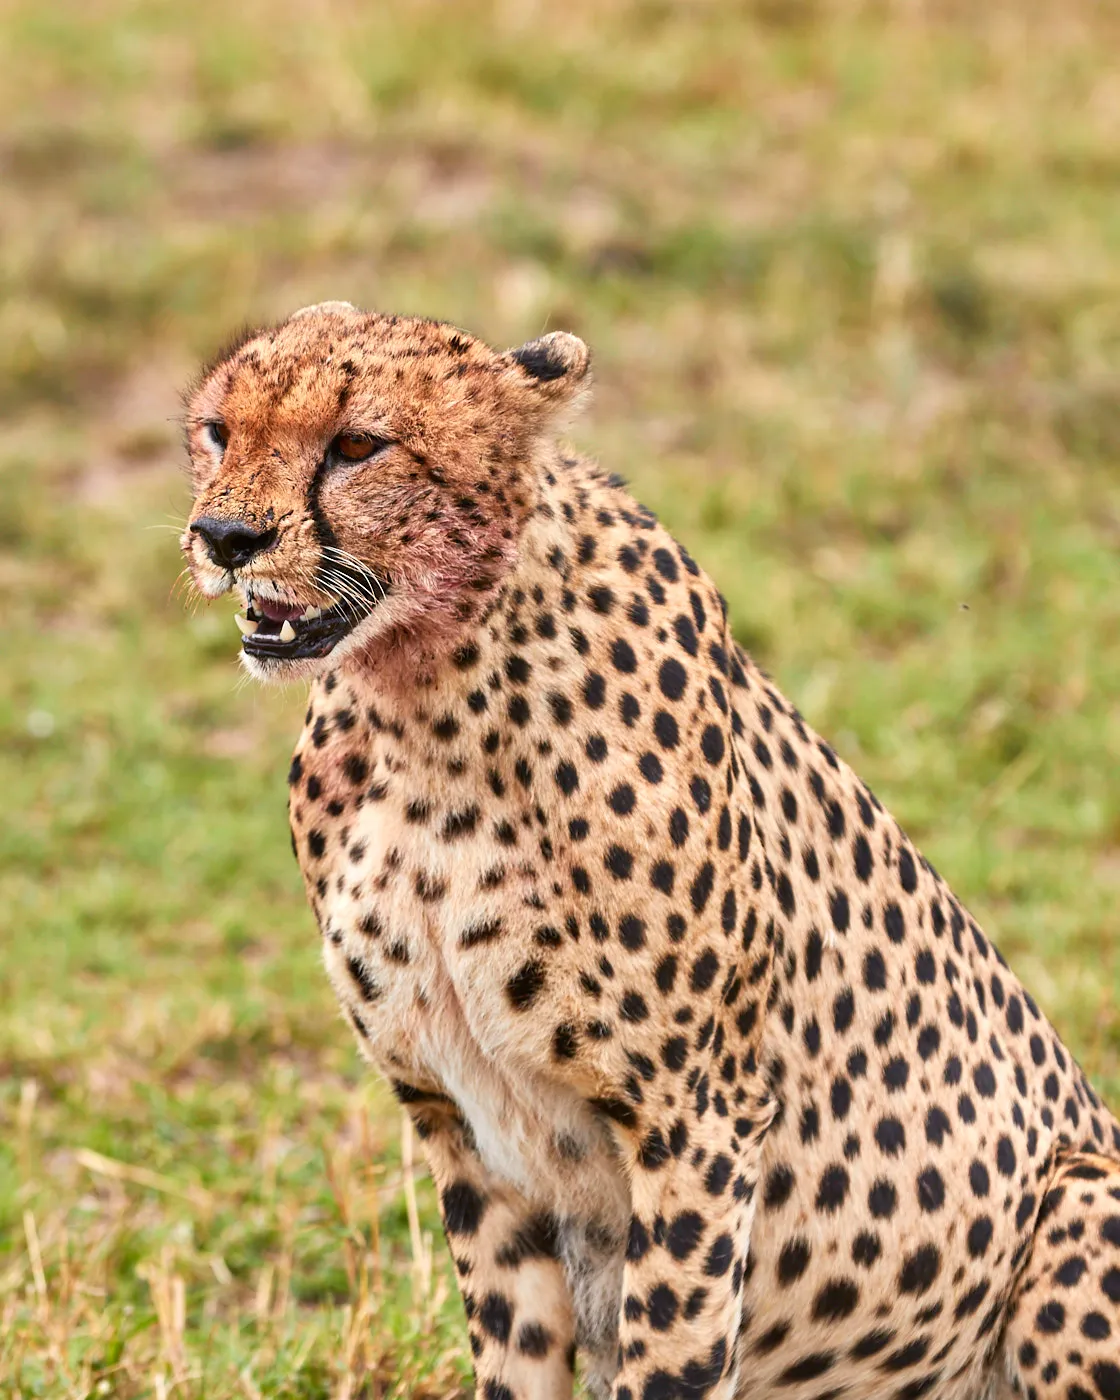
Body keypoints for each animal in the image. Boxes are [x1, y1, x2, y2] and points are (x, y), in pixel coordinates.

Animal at [181, 301, 1120, 1400]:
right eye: (217, 432)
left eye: (357, 445)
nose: (225, 537)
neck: (423, 701)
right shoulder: (462, 1123)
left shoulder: (696, 1118)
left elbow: (670, 1350)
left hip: (1079, 1199)